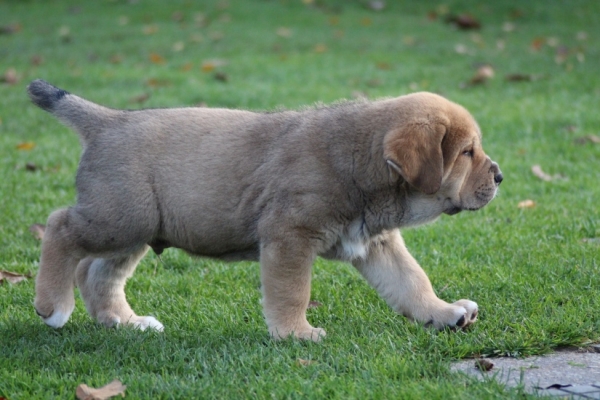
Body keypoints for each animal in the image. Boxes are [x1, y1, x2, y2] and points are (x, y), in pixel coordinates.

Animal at [27, 80, 502, 340]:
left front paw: (443, 313)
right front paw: (296, 333)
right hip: (119, 219)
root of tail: (108, 120)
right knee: (59, 227)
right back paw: (53, 305)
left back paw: (125, 322)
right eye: (467, 152)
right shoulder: (290, 238)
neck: (357, 157)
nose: (499, 177)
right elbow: (292, 291)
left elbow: (412, 283)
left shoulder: (376, 244)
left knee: (97, 274)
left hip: (135, 231)